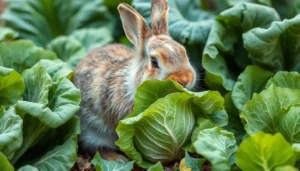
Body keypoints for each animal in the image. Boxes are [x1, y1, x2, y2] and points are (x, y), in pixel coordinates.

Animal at [72, 0, 197, 162]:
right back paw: (117, 158)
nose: (185, 79)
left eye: (183, 52)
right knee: (96, 148)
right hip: (92, 132)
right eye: (154, 62)